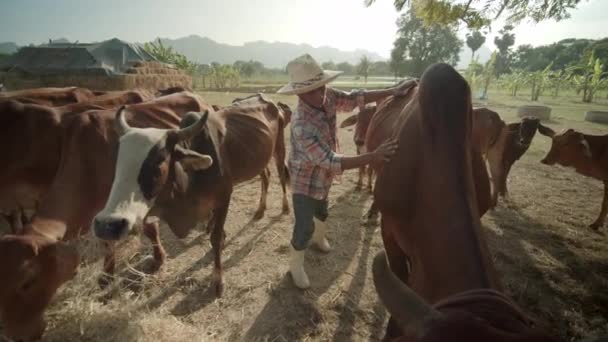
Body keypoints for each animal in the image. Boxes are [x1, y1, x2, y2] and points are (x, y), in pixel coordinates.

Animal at [0, 91, 214, 342]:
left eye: (27, 282)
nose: (16, 335)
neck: (85, 160)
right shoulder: (103, 217)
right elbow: (112, 240)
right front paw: (108, 277)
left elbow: (146, 229)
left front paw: (156, 259)